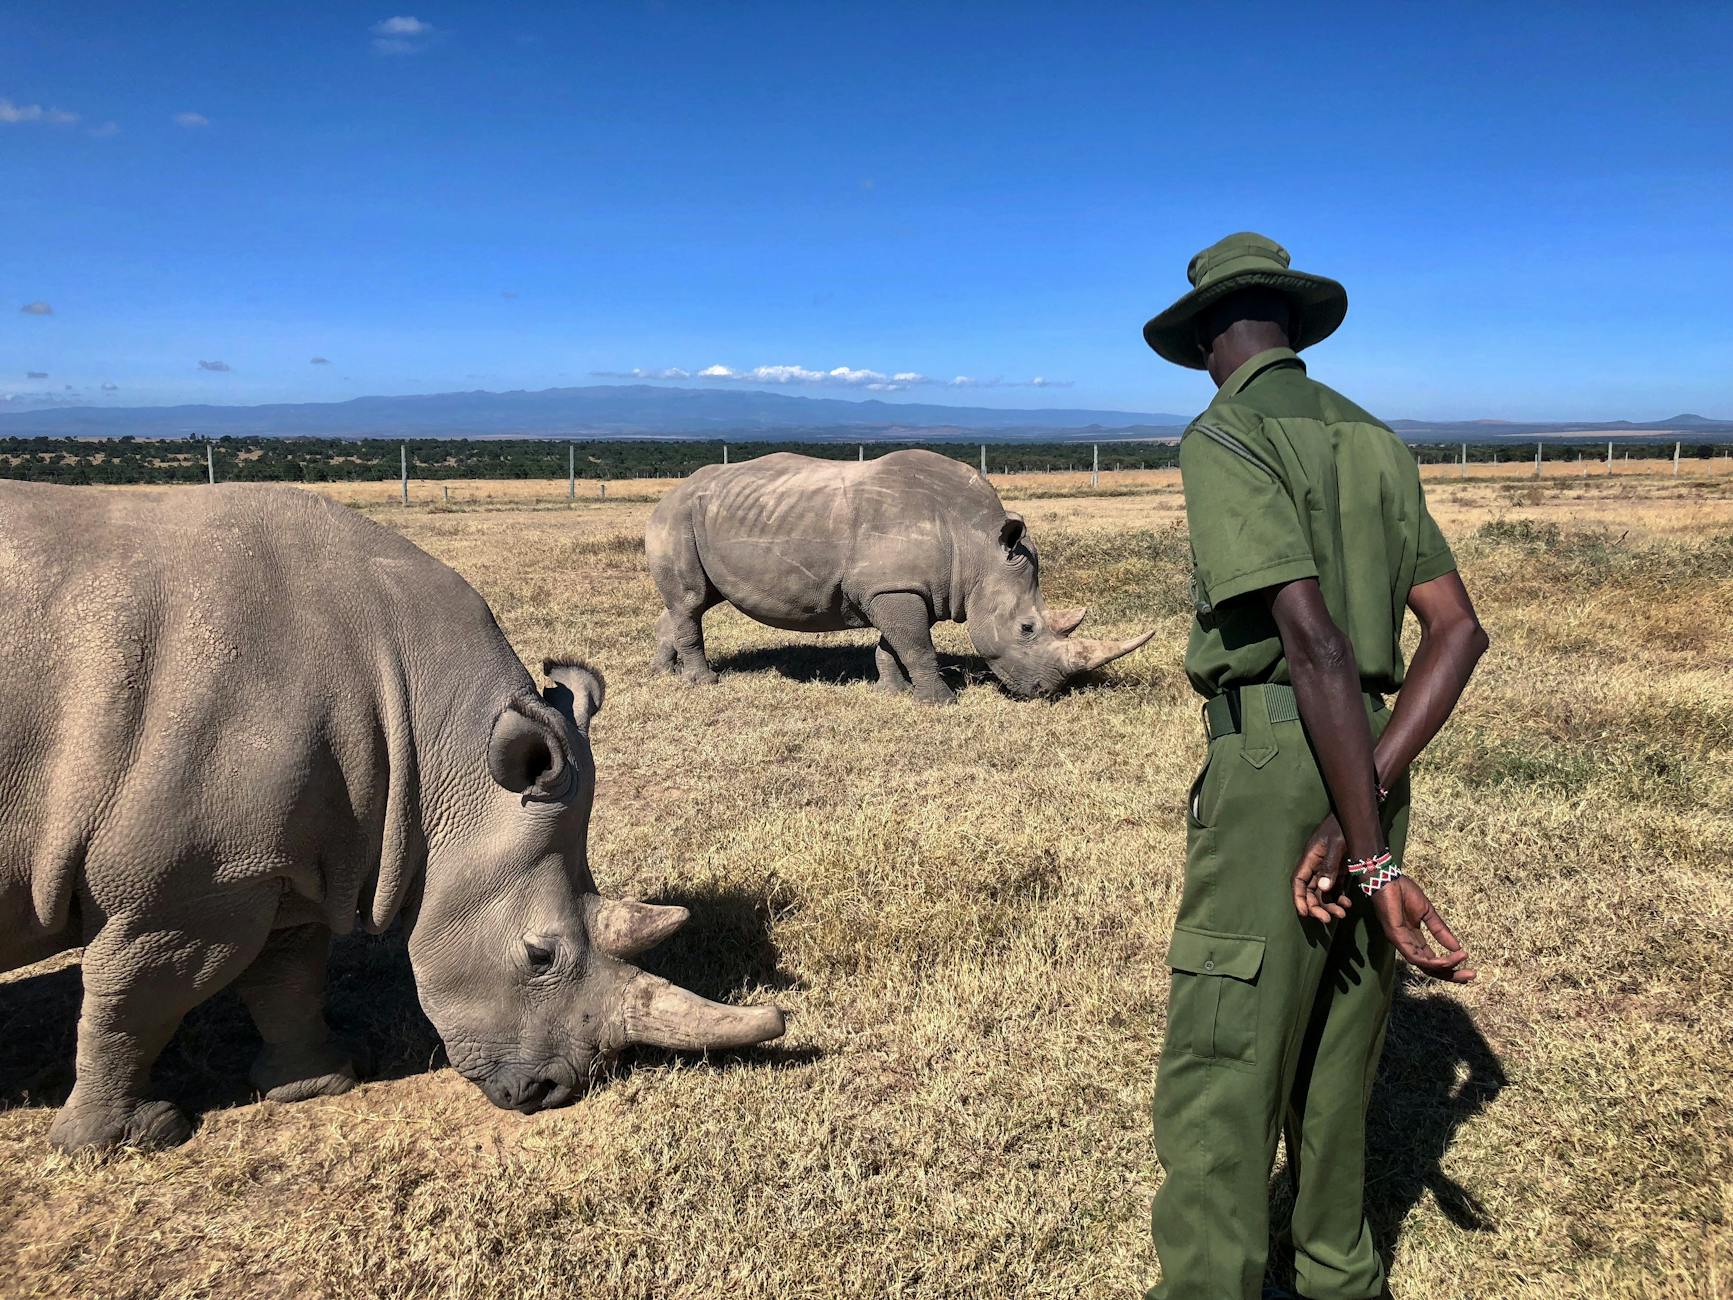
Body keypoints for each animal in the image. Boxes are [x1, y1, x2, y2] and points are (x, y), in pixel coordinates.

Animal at [0, 482, 784, 1151]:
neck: (434, 740)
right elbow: (136, 999)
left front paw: (318, 1084)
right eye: (539, 956)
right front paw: (126, 1140)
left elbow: (287, 975)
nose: (549, 1092)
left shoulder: (275, 858)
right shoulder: (182, 891)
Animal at [646, 449, 1153, 703]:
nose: (1046, 692)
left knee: (692, 601)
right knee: (690, 601)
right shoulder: (895, 588)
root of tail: (669, 492)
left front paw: (894, 692)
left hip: (705, 517)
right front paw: (941, 702)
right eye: (1027, 629)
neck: (977, 545)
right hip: (676, 516)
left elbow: (895, 644)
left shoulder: (900, 587)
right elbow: (917, 645)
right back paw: (705, 683)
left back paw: (663, 675)